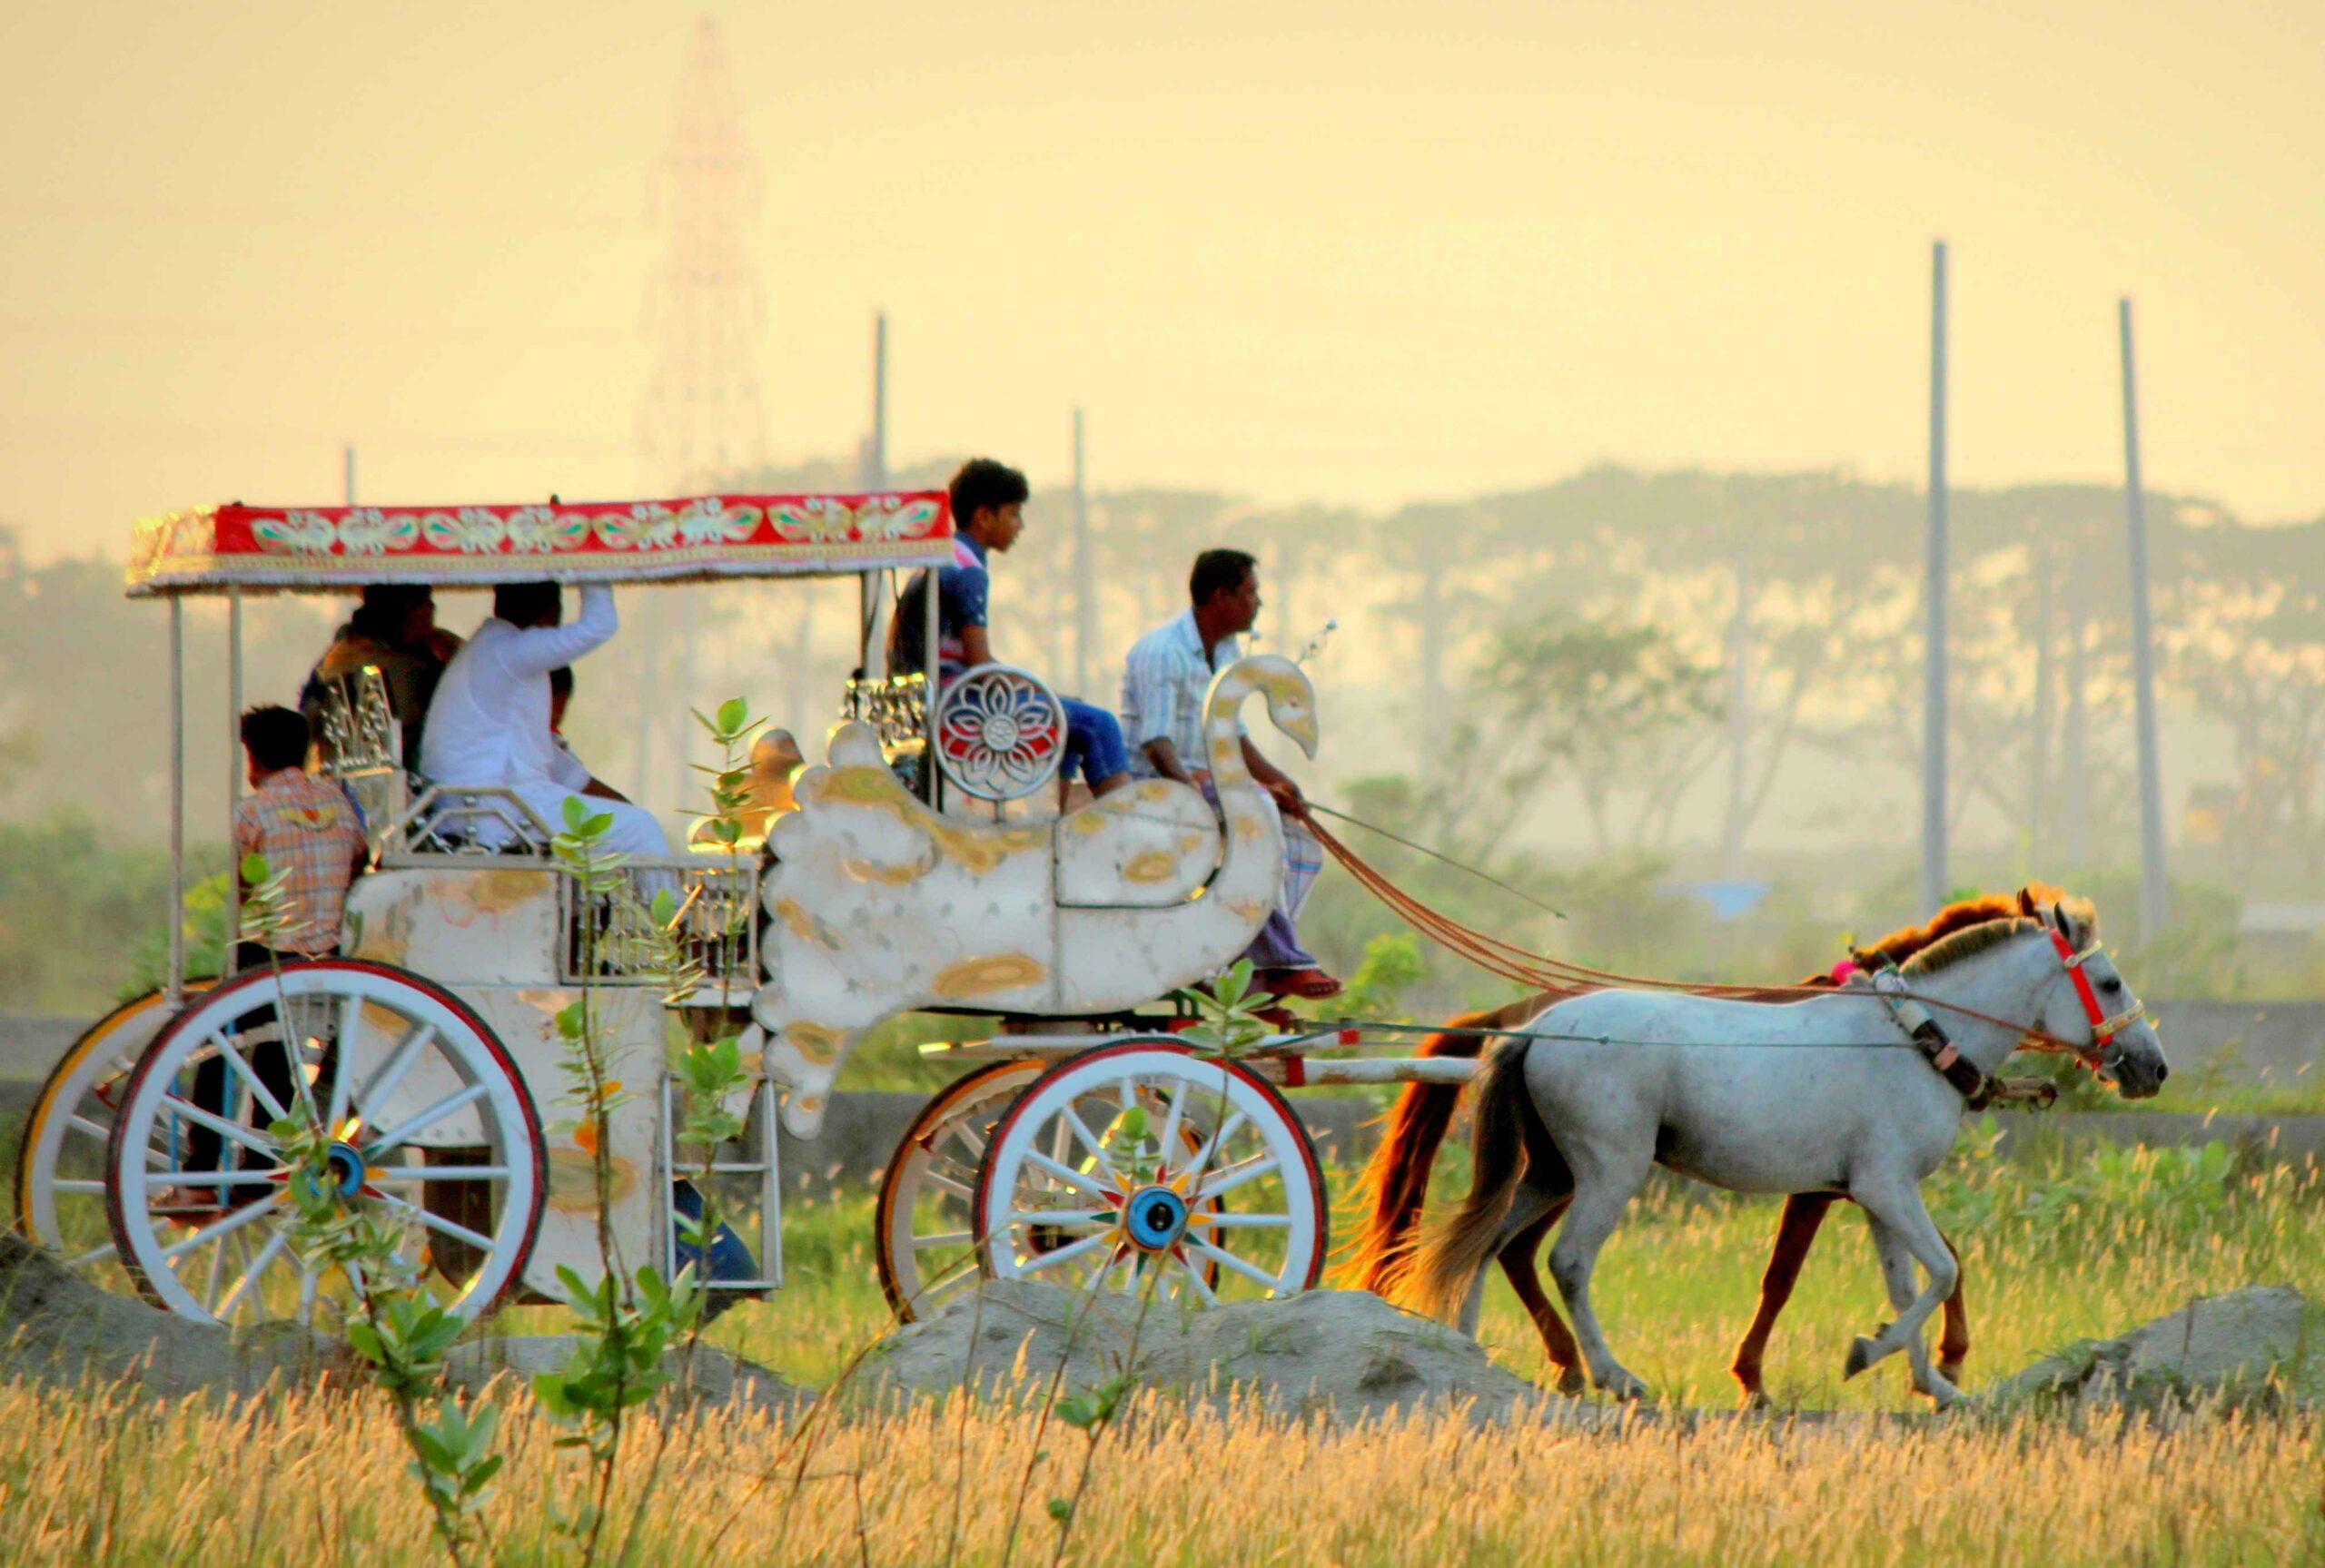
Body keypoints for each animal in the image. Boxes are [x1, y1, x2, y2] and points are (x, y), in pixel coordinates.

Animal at [1395, 896, 2176, 1412]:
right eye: (2109, 982)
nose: (2153, 1066)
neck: (1914, 1039)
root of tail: (1537, 1025)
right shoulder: (1886, 1188)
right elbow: (1944, 1271)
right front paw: (1869, 1353)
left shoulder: (1872, 1196)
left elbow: (1908, 1286)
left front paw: (1931, 1382)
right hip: (1607, 1170)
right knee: (1567, 1261)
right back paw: (1616, 1375)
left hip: (1550, 1172)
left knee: (1488, 1242)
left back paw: (1472, 1358)